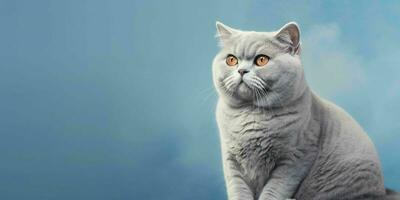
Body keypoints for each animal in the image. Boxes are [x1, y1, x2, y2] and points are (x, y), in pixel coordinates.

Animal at [211, 21, 398, 199]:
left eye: (262, 60)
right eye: (231, 60)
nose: (241, 70)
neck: (250, 113)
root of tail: (383, 191)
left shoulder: (295, 159)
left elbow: (273, 191)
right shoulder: (231, 161)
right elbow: (238, 191)